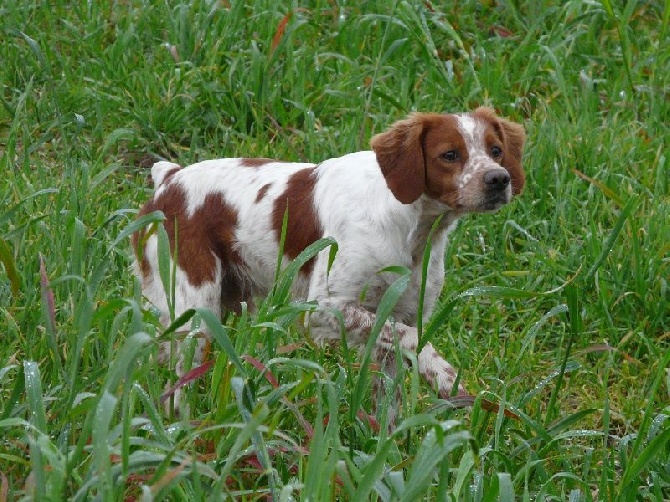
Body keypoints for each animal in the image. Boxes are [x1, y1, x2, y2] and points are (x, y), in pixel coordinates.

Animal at [134, 107, 528, 416]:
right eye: (449, 155)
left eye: (496, 150)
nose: (499, 179)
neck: (410, 227)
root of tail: (169, 181)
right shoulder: (322, 309)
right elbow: (413, 338)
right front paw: (446, 375)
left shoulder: (399, 312)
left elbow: (392, 381)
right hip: (197, 310)